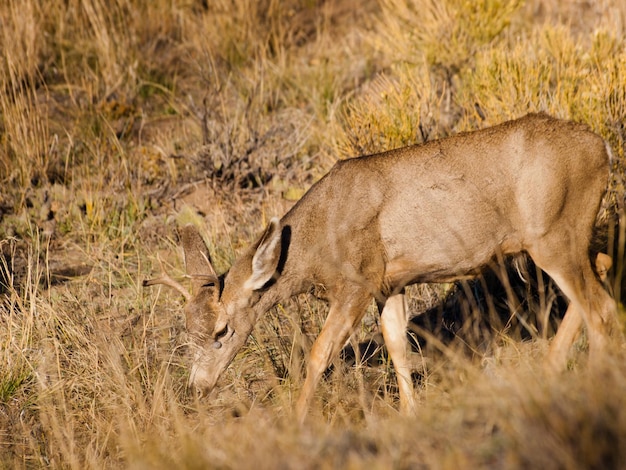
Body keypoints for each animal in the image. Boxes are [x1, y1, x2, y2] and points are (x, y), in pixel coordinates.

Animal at [146, 114, 620, 422]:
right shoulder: (389, 284)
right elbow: (397, 345)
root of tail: (602, 147)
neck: (316, 238)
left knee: (601, 307)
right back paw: (551, 369)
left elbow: (319, 355)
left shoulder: (357, 282)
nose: (198, 387)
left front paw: (297, 422)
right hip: (567, 235)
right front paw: (409, 414)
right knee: (601, 268)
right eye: (186, 329)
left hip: (552, 236)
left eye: (222, 331)